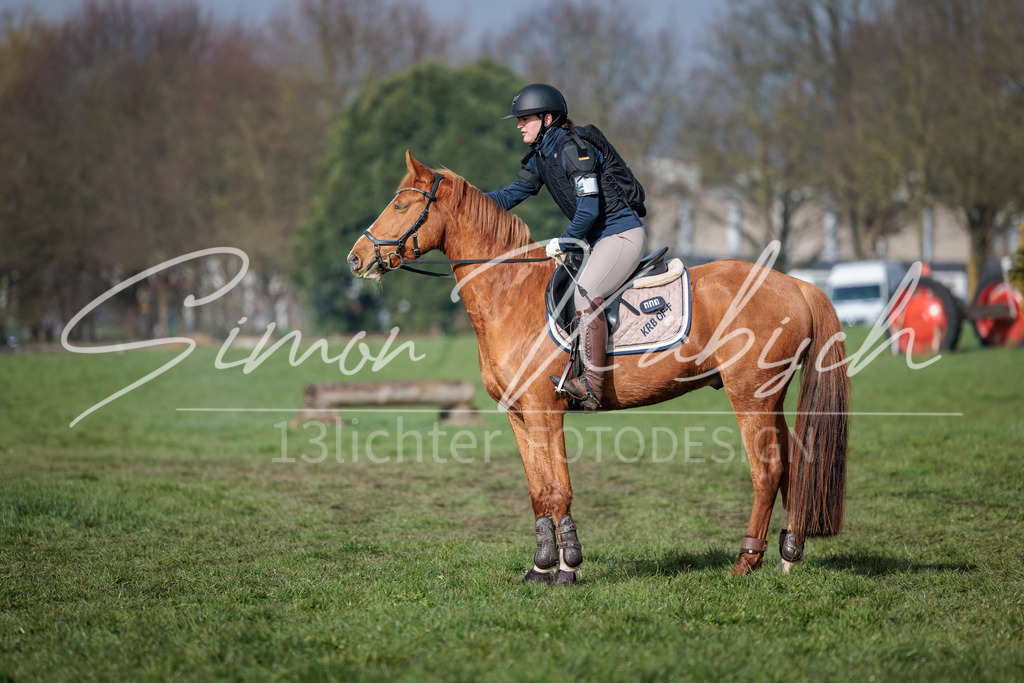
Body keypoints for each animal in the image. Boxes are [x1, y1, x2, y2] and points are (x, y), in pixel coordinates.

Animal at [347, 151, 850, 584]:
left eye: (401, 204)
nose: (356, 258)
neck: (509, 293)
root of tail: (797, 285)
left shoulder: (545, 410)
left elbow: (558, 489)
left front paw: (567, 566)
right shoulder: (518, 415)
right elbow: (537, 491)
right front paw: (540, 567)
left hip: (750, 395)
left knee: (767, 471)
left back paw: (747, 561)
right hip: (771, 396)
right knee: (793, 466)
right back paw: (788, 555)